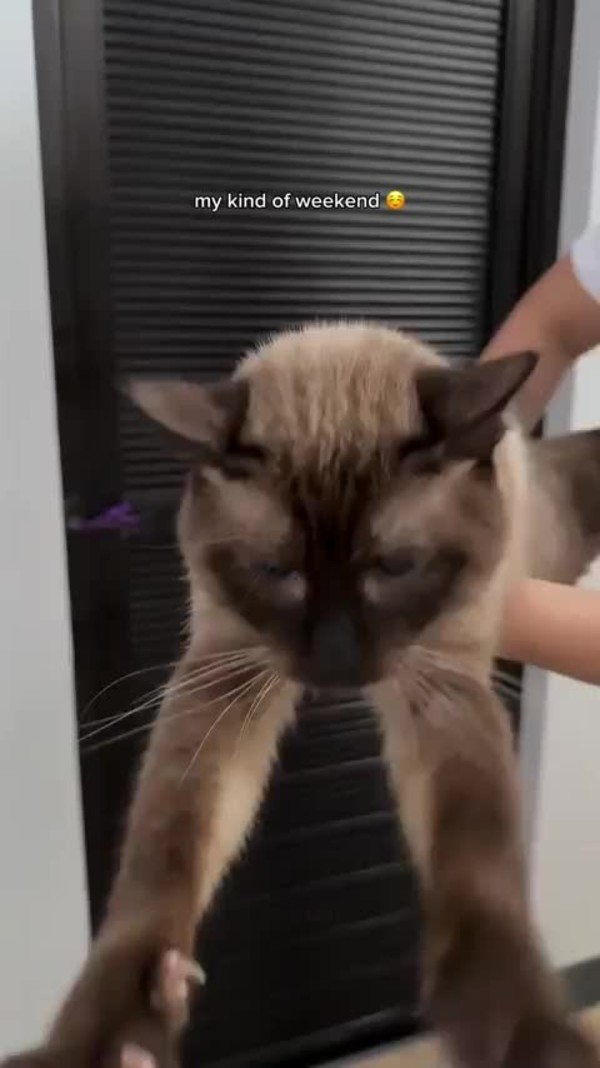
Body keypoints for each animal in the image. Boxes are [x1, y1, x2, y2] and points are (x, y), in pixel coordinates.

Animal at [4, 322, 600, 1068]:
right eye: (276, 572)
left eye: (396, 568)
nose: (335, 663)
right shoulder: (224, 676)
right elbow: (164, 852)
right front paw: (118, 1031)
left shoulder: (444, 683)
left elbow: (479, 863)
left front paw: (522, 1032)